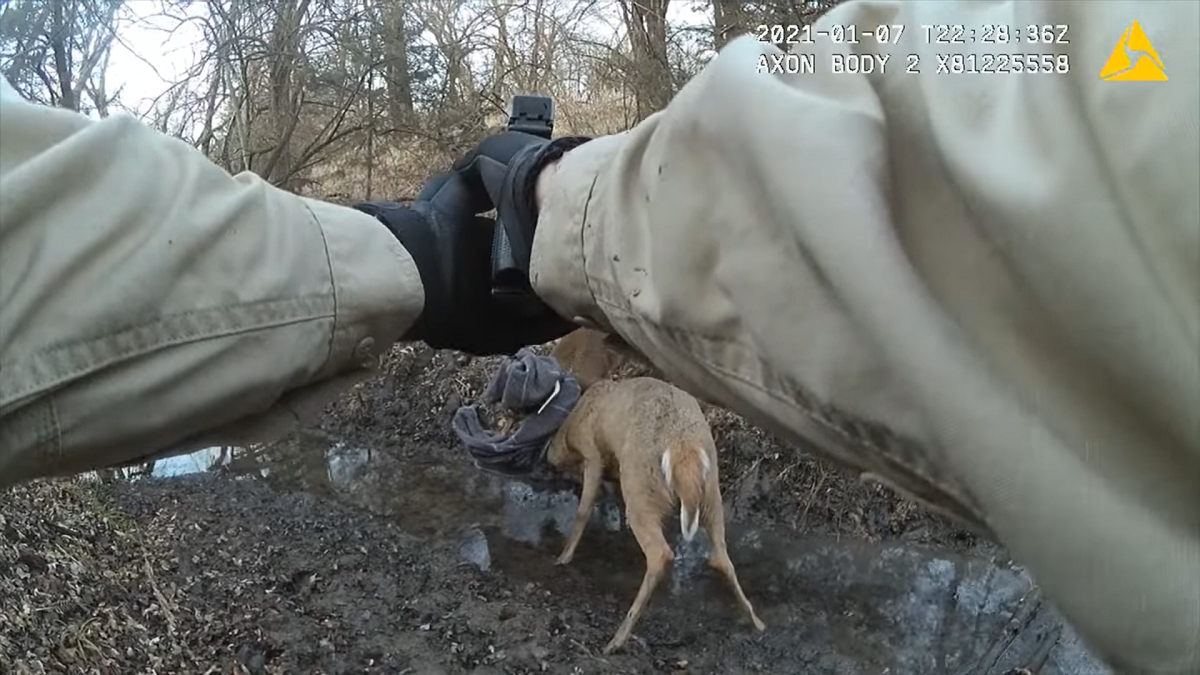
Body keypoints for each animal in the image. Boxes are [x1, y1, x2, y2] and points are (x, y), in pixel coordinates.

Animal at [545, 372, 766, 654]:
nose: (549, 456)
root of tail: (683, 448)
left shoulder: (592, 453)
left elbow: (583, 510)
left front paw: (563, 557)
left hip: (641, 487)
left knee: (660, 554)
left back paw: (617, 639)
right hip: (711, 496)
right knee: (721, 557)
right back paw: (756, 621)